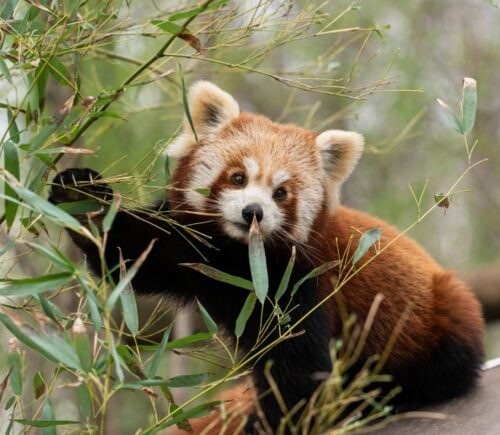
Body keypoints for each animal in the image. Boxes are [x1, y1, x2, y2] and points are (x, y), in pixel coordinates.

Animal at [49, 81, 484, 432]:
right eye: (238, 177)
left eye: (281, 193)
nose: (252, 212)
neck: (236, 258)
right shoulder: (186, 246)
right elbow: (129, 253)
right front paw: (82, 196)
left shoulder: (301, 283)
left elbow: (297, 371)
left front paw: (269, 424)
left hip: (445, 313)